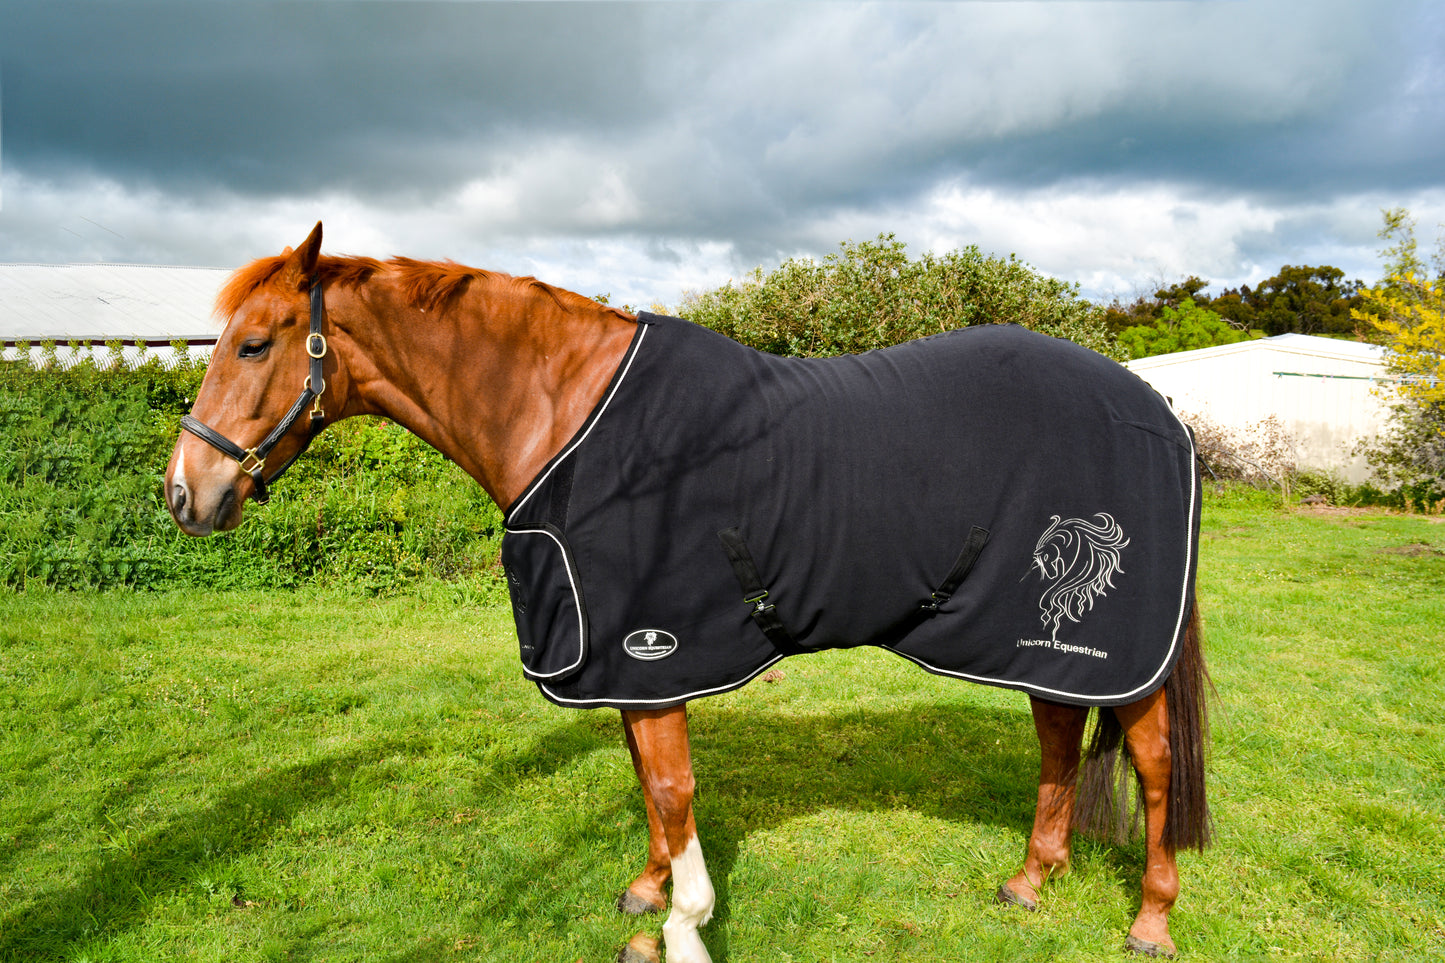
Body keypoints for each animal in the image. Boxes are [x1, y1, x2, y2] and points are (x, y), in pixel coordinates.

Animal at [166, 223, 1210, 961]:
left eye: (253, 345)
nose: (185, 493)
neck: (572, 417)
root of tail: (1157, 409)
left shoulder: (651, 644)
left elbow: (670, 784)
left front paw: (682, 924)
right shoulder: (618, 656)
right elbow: (645, 780)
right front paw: (649, 888)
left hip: (1113, 649)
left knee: (1153, 763)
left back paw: (1151, 921)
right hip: (1029, 636)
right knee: (1057, 735)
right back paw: (1031, 880)